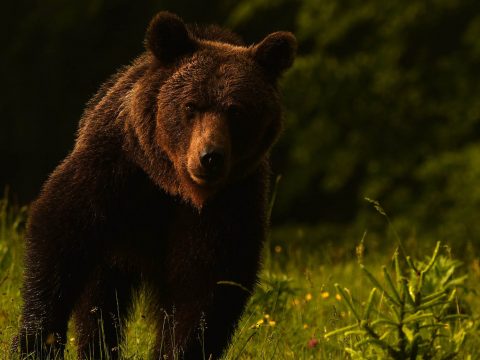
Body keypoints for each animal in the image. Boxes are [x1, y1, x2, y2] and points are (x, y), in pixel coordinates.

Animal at [12, 11, 296, 360]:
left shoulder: (229, 204)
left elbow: (207, 285)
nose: (210, 157)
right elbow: (59, 235)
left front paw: (180, 349)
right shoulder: (115, 170)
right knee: (100, 299)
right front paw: (37, 342)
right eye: (190, 106)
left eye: (236, 110)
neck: (173, 185)